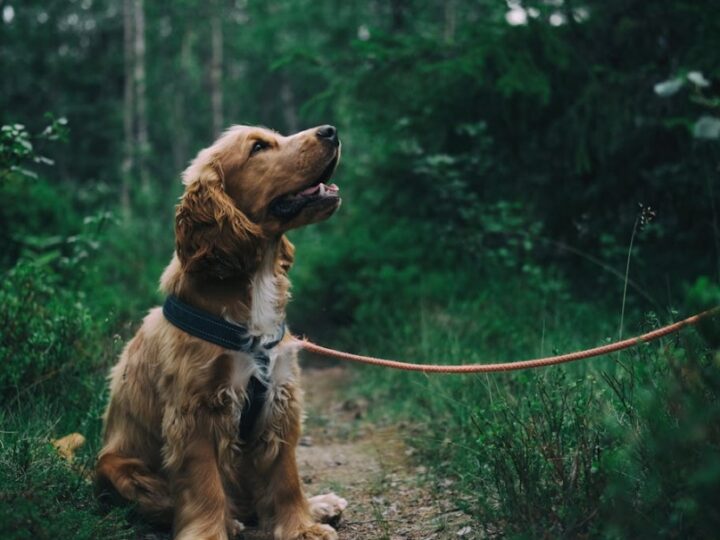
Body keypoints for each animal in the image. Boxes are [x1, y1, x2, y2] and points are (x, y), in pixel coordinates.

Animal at [97, 124, 348, 536]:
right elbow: (204, 487)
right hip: (120, 469)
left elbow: (286, 476)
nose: (330, 130)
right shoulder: (195, 411)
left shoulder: (280, 397)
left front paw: (302, 527)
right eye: (258, 147)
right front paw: (209, 533)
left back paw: (320, 505)